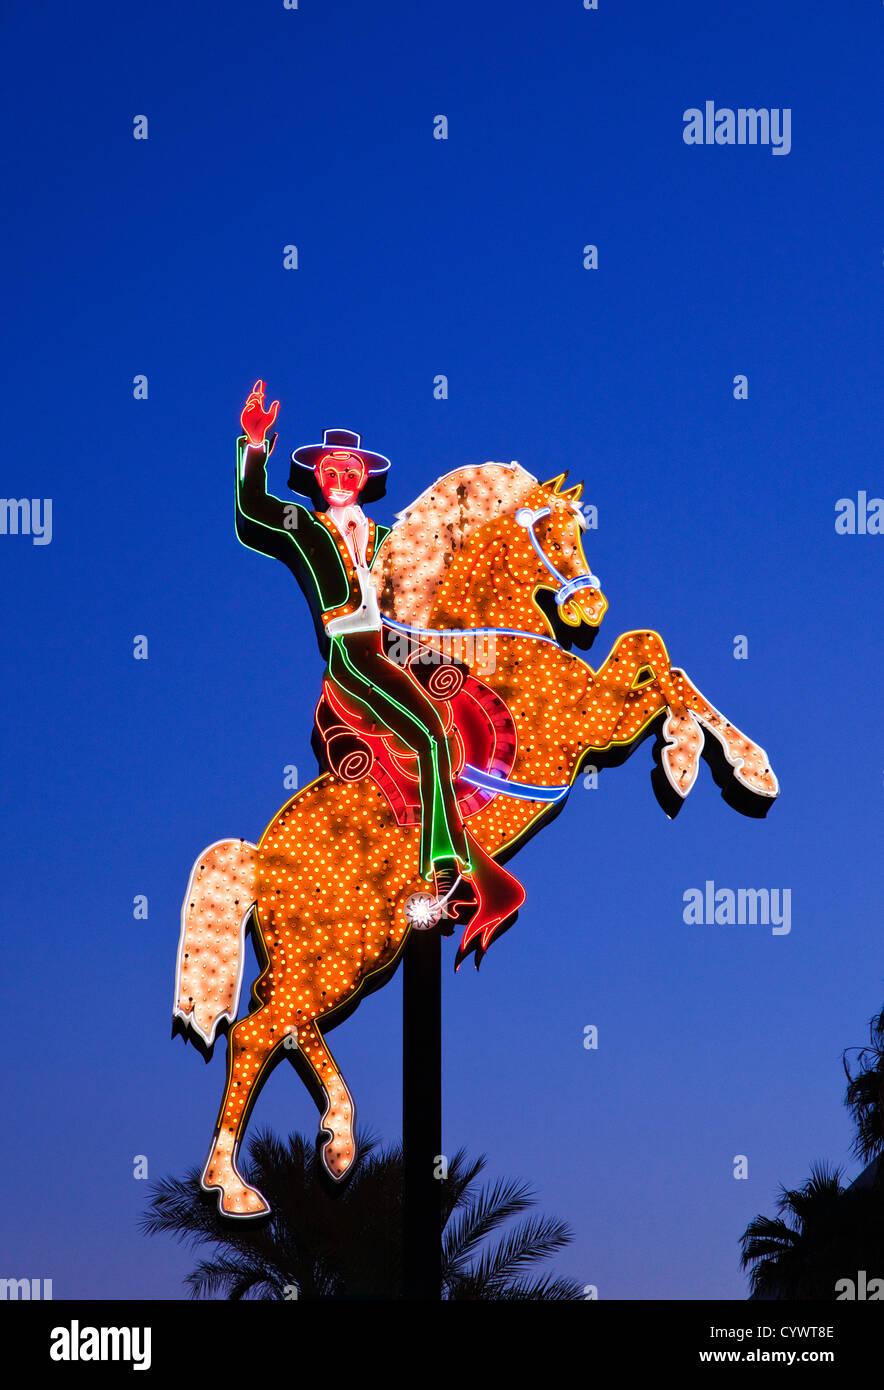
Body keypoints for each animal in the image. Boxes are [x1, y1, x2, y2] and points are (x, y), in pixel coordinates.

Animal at [174, 463, 778, 1216]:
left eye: (578, 531)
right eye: (555, 532)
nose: (591, 607)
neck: (495, 637)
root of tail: (260, 859)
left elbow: (652, 647)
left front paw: (708, 755)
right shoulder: (587, 723)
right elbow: (655, 657)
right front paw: (707, 761)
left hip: (348, 950)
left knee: (278, 1016)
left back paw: (337, 1142)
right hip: (337, 949)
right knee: (258, 1030)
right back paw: (233, 1185)